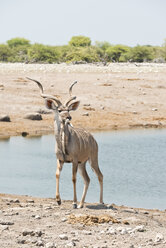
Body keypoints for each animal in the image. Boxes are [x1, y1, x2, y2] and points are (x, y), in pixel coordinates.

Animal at [26, 77, 103, 207]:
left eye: (68, 110)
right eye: (59, 110)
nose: (68, 117)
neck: (63, 144)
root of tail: (93, 139)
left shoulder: (74, 160)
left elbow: (73, 178)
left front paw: (74, 202)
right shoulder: (60, 160)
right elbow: (57, 174)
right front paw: (58, 200)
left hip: (92, 160)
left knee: (99, 175)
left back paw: (100, 202)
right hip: (83, 163)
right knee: (87, 179)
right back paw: (81, 204)